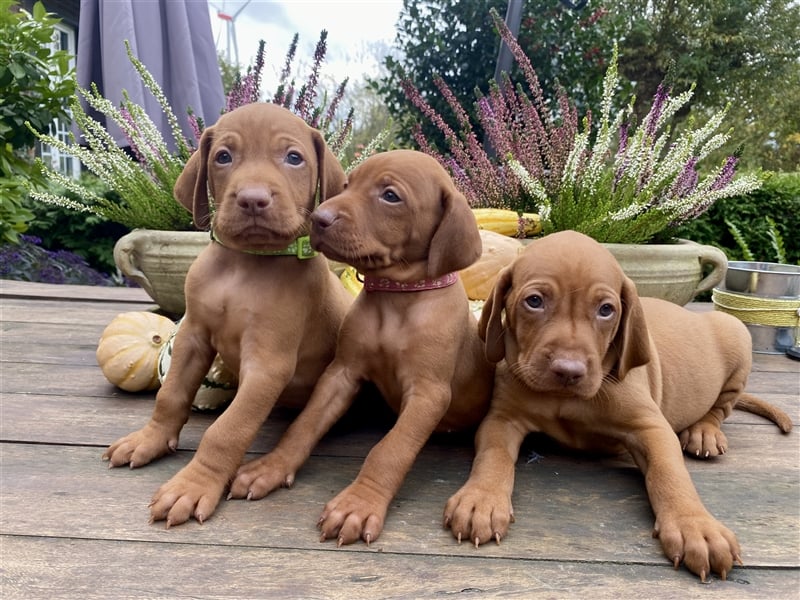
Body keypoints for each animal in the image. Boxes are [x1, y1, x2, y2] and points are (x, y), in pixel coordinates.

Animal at [101, 105, 352, 528]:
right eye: (223, 156)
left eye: (294, 158)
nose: (252, 199)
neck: (244, 266)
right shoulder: (192, 337)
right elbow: (170, 396)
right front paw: (150, 440)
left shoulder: (267, 364)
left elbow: (227, 430)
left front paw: (193, 486)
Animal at [228, 149, 496, 544]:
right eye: (347, 185)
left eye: (390, 196)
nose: (318, 218)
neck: (395, 298)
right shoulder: (341, 373)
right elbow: (305, 424)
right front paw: (271, 467)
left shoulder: (428, 394)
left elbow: (390, 449)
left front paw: (358, 503)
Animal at [444, 230, 792, 580]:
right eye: (534, 301)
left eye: (606, 310)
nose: (568, 371)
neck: (565, 400)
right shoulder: (502, 419)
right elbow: (493, 456)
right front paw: (481, 499)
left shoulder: (651, 427)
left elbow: (669, 473)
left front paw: (696, 526)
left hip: (736, 333)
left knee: (721, 407)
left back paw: (703, 433)